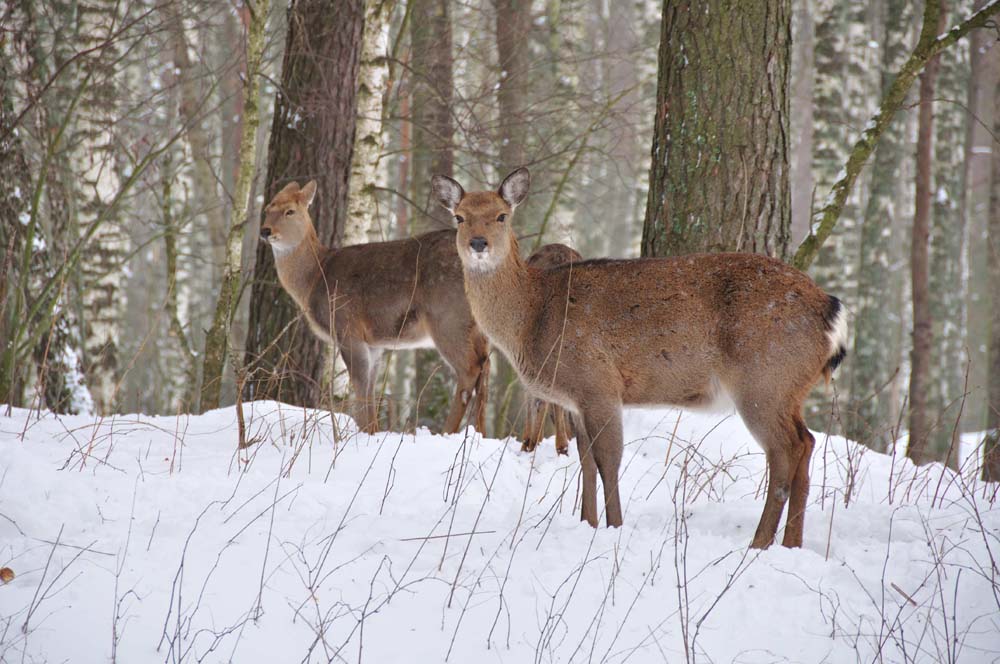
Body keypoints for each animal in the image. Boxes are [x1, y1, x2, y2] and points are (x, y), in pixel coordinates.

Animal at [260, 180, 490, 436]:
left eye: (290, 211)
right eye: (267, 209)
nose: (265, 231)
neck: (314, 279)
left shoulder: (347, 327)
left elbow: (360, 388)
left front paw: (365, 433)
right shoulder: (375, 343)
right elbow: (370, 391)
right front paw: (373, 432)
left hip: (447, 317)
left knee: (470, 369)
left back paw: (448, 431)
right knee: (486, 366)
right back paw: (481, 433)